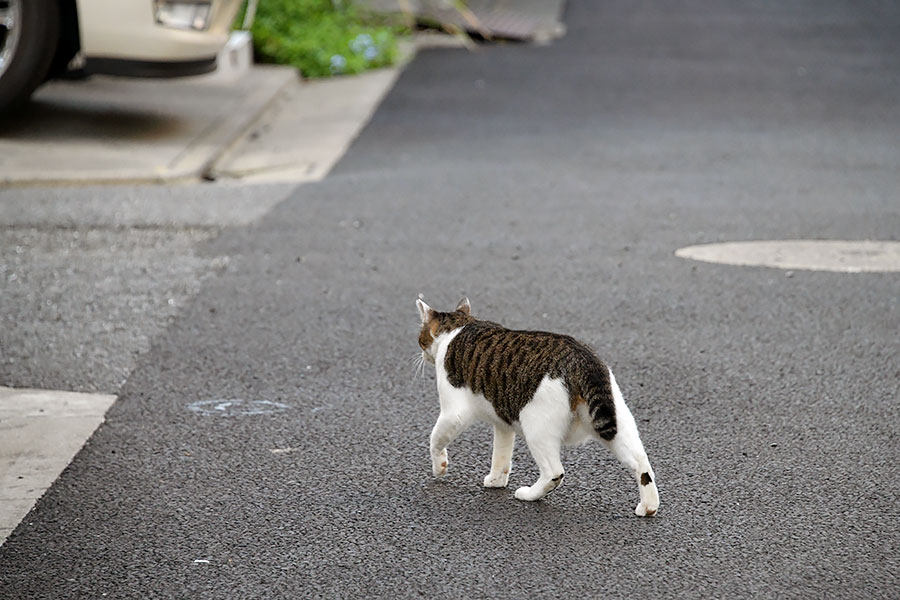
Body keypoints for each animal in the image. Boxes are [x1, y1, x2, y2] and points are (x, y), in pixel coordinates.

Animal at [416, 296, 660, 516]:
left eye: (420, 338)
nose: (421, 354)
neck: (458, 326)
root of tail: (582, 359)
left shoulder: (453, 412)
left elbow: (435, 439)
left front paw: (440, 466)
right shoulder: (502, 420)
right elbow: (501, 453)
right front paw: (496, 479)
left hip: (536, 426)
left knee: (555, 472)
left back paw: (529, 494)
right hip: (614, 420)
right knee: (641, 463)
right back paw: (648, 507)